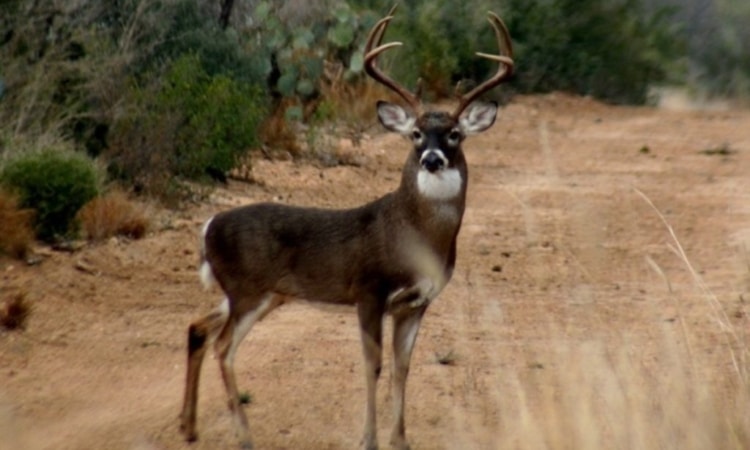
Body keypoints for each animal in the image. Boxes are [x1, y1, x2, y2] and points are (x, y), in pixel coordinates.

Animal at [179, 7, 516, 450]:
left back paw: (189, 426)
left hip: (258, 294)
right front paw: (369, 439)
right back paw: (242, 434)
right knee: (223, 347)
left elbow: (402, 367)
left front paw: (400, 440)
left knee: (198, 327)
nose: (431, 159)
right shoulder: (369, 290)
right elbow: (373, 365)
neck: (413, 238)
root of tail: (208, 226)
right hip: (247, 289)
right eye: (415, 133)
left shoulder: (417, 303)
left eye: (455, 134)